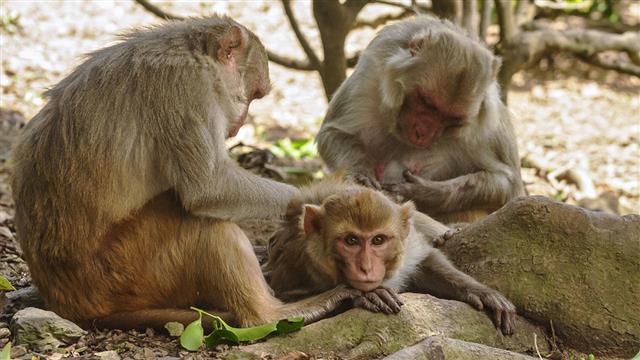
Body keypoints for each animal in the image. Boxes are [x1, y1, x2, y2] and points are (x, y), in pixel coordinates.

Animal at [10, 17, 362, 332]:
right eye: (254, 94)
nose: (241, 122)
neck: (192, 52)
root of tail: (71, 303)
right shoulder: (189, 88)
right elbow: (209, 188)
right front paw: (325, 194)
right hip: (124, 271)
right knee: (204, 224)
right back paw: (270, 314)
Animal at [262, 179, 516, 336]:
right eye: (351, 240)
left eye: (378, 240)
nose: (366, 267)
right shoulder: (296, 264)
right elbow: (286, 311)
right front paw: (370, 295)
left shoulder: (407, 243)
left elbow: (424, 259)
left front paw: (480, 291)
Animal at [316, 16, 524, 225]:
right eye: (427, 102)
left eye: (453, 119)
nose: (422, 134)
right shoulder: (371, 71)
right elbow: (333, 133)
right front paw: (361, 173)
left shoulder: (486, 126)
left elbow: (508, 185)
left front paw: (426, 194)